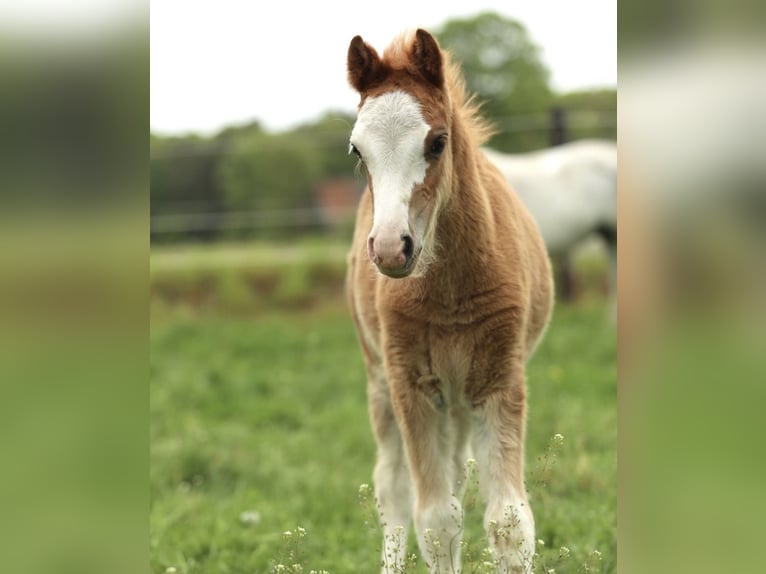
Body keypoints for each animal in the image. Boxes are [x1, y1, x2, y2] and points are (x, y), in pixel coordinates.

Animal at [345, 30, 553, 573]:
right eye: (357, 151)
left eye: (437, 142)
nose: (391, 247)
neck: (450, 292)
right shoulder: (411, 385)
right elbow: (435, 520)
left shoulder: (500, 381)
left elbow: (509, 522)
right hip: (382, 377)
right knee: (394, 490)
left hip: (459, 397)